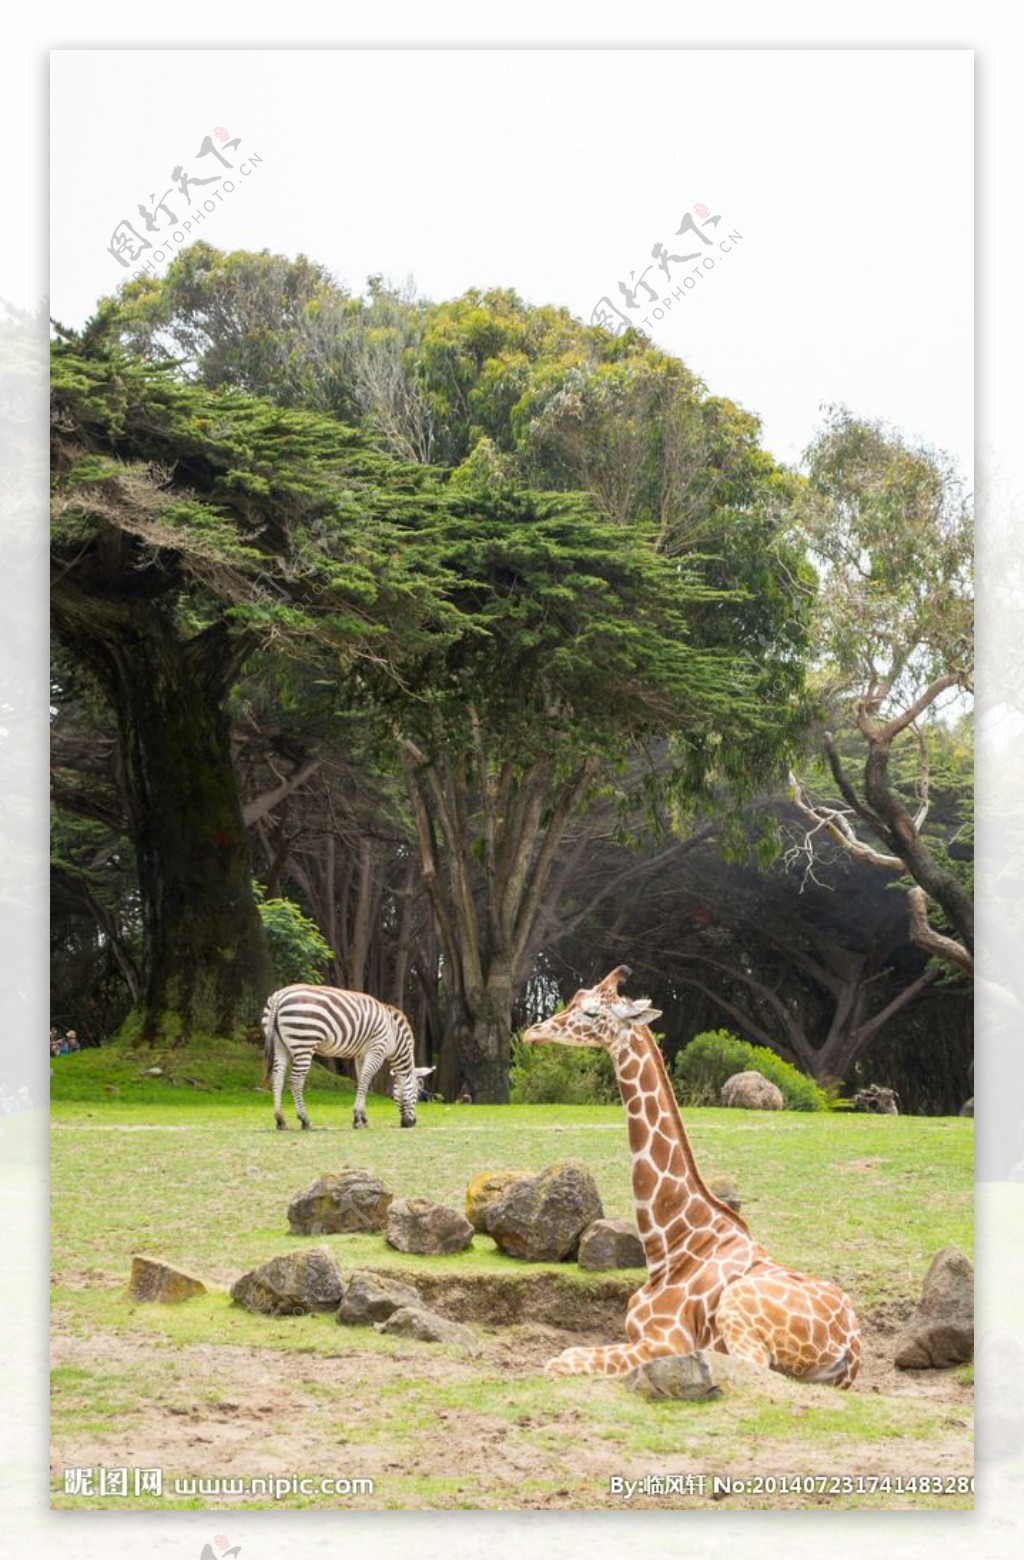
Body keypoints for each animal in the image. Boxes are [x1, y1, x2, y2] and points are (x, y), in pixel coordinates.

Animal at [262, 985, 433, 1135]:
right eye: (417, 1095)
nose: (410, 1123)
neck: (394, 1035)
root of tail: (279, 996)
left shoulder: (361, 1055)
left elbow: (363, 1082)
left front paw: (363, 1119)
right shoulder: (376, 1050)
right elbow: (365, 1081)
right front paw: (357, 1119)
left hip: (280, 1047)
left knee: (277, 1078)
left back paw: (280, 1120)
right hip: (303, 1043)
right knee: (295, 1081)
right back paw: (305, 1120)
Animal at [524, 960, 861, 1391]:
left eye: (591, 1012)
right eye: (576, 998)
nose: (532, 1032)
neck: (673, 1243)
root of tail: (849, 1351)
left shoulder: (664, 1340)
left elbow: (561, 1359)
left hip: (737, 1308)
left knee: (754, 1368)